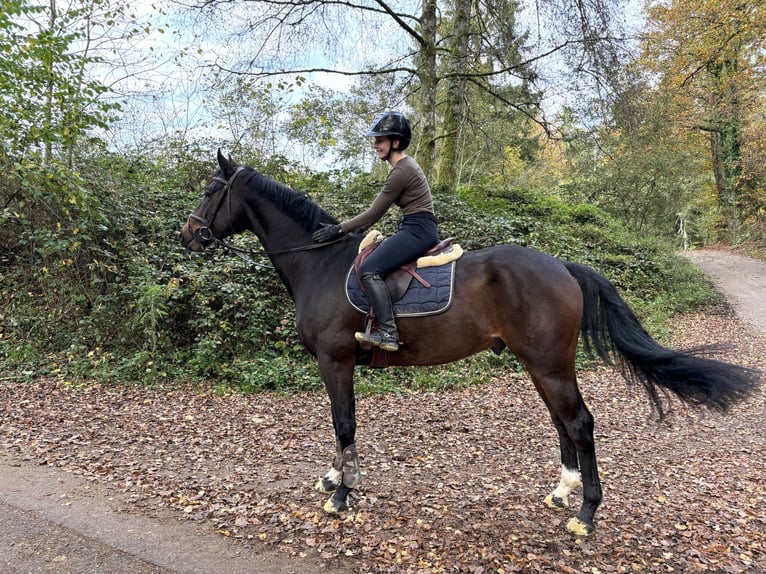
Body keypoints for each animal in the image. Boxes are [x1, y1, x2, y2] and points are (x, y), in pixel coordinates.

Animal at [182, 151, 760, 536]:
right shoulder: (334, 365)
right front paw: (333, 478)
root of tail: (563, 266)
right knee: (562, 421)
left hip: (548, 363)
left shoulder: (336, 360)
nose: (188, 236)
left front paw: (343, 494)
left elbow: (344, 423)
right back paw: (563, 492)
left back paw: (586, 514)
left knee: (579, 421)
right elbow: (338, 424)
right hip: (540, 364)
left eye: (212, 191)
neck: (320, 264)